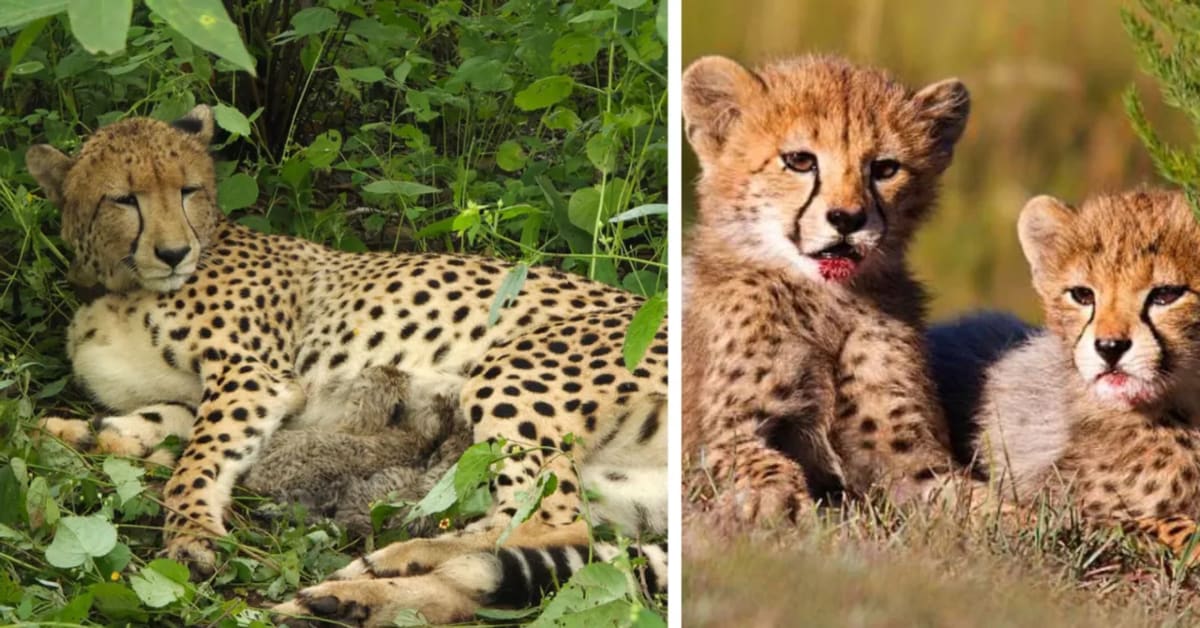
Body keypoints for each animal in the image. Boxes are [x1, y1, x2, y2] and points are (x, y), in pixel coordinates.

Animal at [26, 105, 668, 622]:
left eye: (187, 190)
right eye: (123, 198)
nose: (173, 251)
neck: (122, 283)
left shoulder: (254, 378)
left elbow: (197, 461)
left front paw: (190, 534)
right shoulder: (208, 396)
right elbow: (150, 428)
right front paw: (70, 433)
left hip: (512, 370)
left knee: (552, 521)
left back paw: (389, 562)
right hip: (617, 490)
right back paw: (352, 595)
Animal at [681, 54, 970, 524]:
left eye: (885, 169)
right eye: (800, 161)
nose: (847, 219)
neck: (824, 299)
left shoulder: (902, 452)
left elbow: (967, 497)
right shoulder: (723, 435)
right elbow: (760, 461)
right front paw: (770, 502)